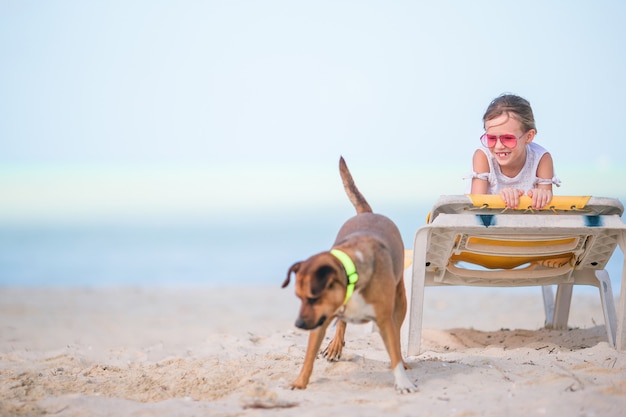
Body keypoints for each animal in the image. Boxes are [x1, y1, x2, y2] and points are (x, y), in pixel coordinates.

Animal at [282, 156, 416, 394]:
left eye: (312, 298)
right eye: (299, 297)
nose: (299, 324)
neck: (352, 276)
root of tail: (367, 213)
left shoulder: (384, 319)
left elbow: (394, 352)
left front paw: (402, 381)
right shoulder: (321, 319)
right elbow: (309, 357)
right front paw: (300, 382)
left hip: (400, 301)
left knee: (398, 334)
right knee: (341, 325)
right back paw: (335, 345)